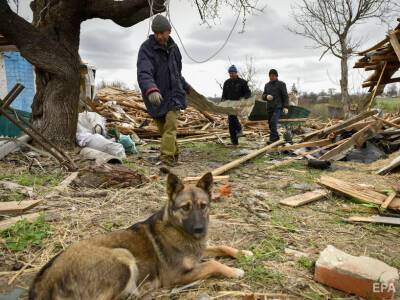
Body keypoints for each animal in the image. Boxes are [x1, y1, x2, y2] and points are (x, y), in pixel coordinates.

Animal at [28, 171, 253, 300]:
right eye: (185, 208)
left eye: (203, 206)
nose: (200, 230)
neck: (177, 229)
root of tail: (45, 278)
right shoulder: (175, 276)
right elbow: (212, 264)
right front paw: (234, 271)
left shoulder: (199, 250)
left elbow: (220, 246)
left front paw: (243, 253)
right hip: (123, 256)